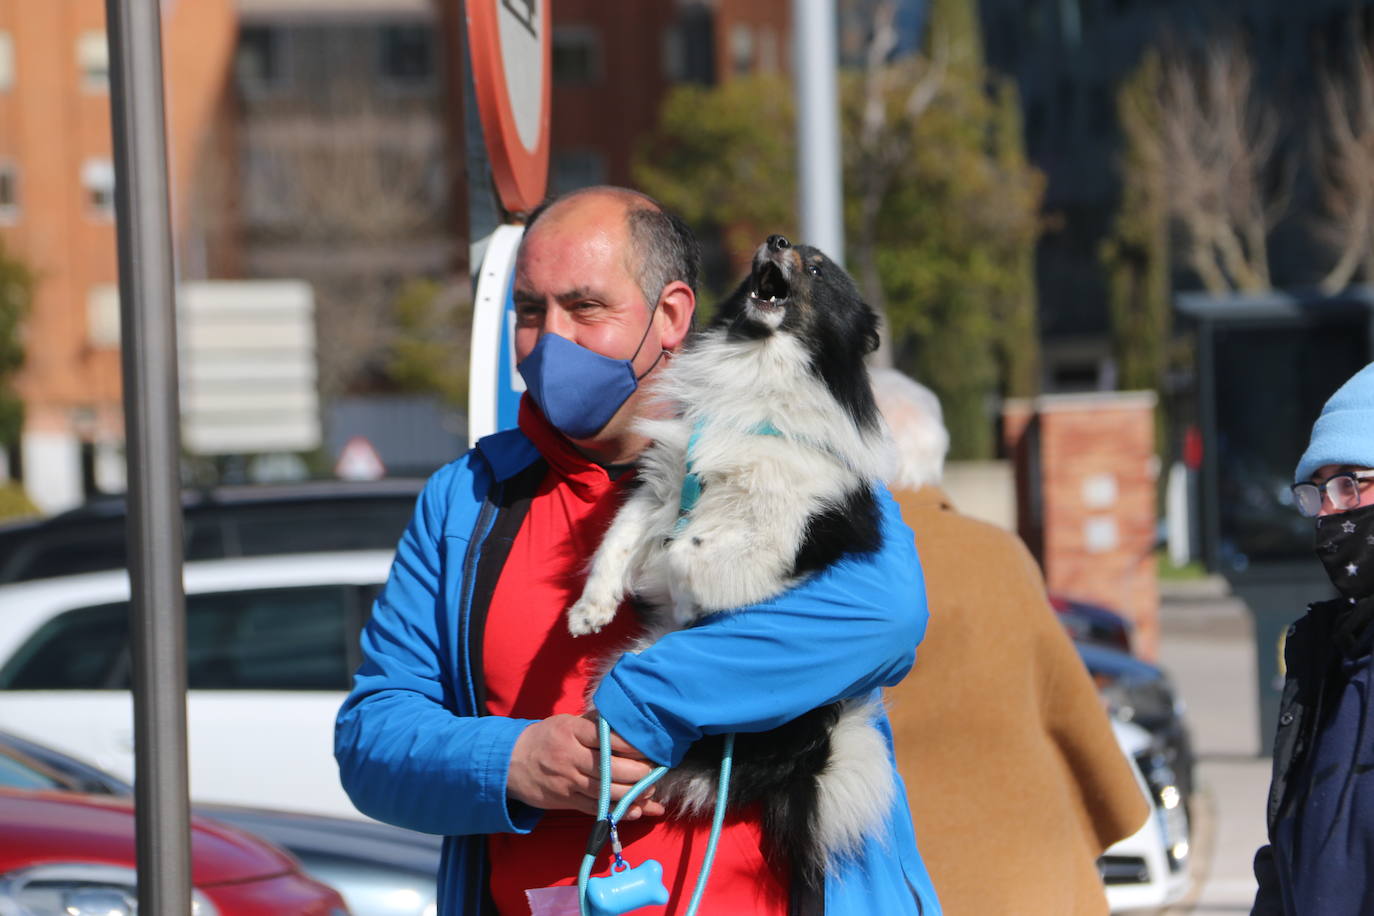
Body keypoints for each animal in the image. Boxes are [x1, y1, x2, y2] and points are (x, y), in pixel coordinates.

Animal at [566, 233, 895, 889]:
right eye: (782, 249)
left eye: (817, 268)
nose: (776, 239)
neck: (757, 375)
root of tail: (811, 754)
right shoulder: (663, 486)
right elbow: (618, 540)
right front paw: (592, 609)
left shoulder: (785, 531)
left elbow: (687, 551)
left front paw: (689, 600)